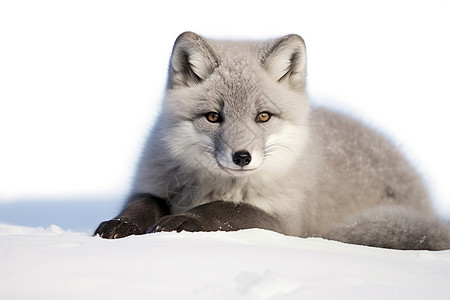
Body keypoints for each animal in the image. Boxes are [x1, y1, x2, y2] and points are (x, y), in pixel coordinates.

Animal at [95, 31, 450, 250]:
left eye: (263, 116)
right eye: (213, 117)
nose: (242, 157)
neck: (213, 184)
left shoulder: (283, 221)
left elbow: (223, 210)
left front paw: (185, 220)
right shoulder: (152, 184)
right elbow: (142, 204)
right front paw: (120, 223)